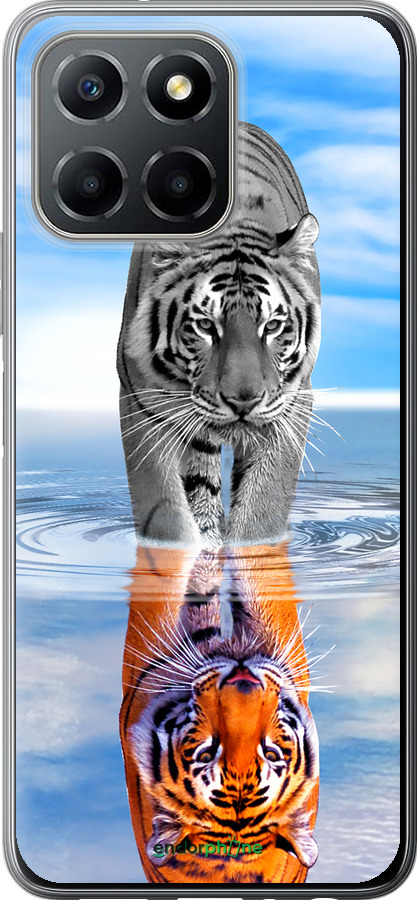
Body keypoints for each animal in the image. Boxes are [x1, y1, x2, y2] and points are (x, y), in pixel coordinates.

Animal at [117, 121, 321, 548]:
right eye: (206, 326)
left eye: (272, 326)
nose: (243, 401)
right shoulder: (141, 401)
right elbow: (165, 510)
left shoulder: (292, 404)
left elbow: (263, 508)